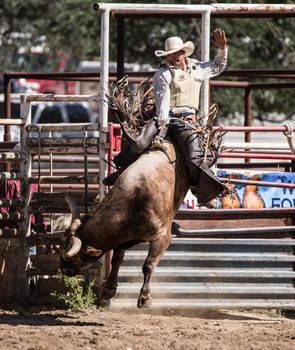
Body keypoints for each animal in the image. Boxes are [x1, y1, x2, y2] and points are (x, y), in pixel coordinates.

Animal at [59, 76, 222, 306]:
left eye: (74, 254)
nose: (61, 267)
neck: (133, 202)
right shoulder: (131, 236)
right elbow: (118, 256)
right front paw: (109, 289)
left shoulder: (162, 237)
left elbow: (148, 264)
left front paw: (144, 298)